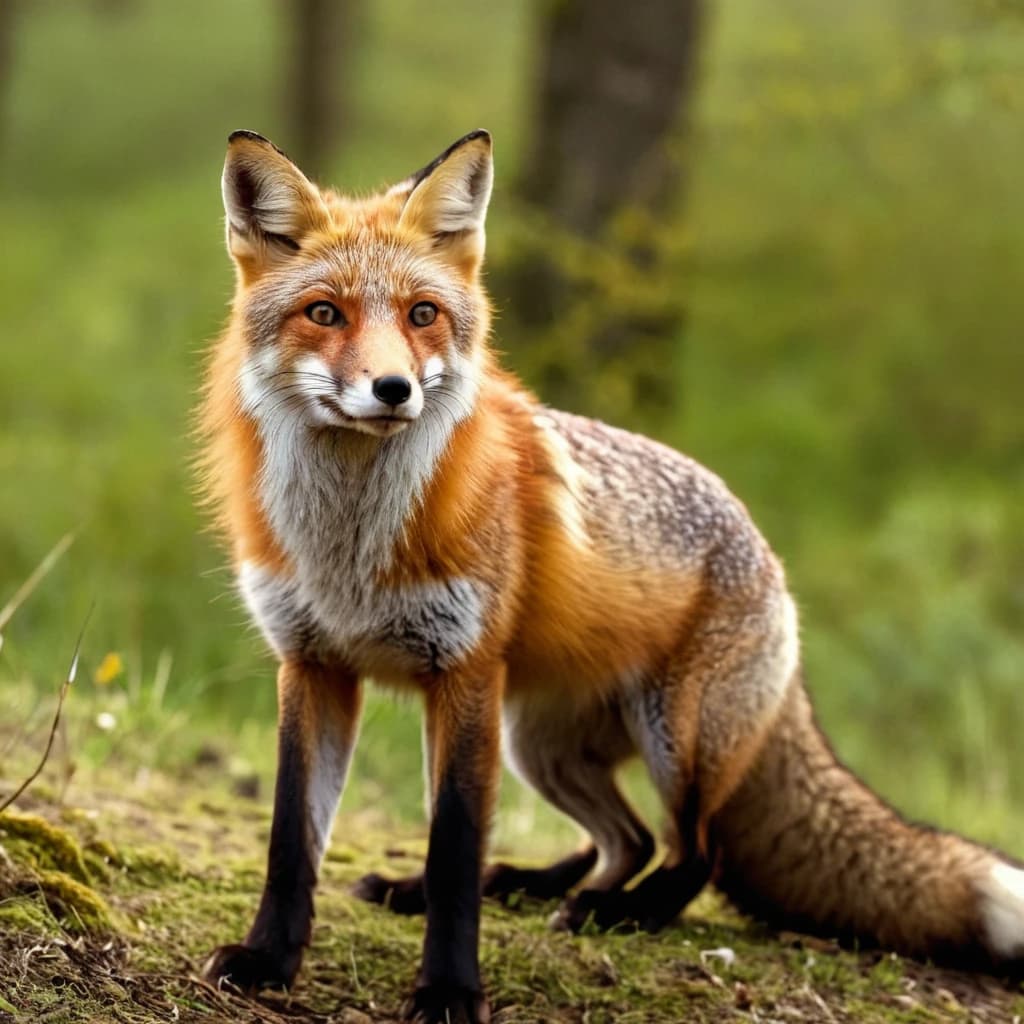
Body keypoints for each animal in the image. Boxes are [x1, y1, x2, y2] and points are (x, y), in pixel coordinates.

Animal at [197, 128, 1024, 1024]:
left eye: (422, 315)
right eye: (325, 313)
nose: (393, 389)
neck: (349, 549)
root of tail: (768, 555)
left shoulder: (465, 674)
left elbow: (454, 844)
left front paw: (449, 990)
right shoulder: (313, 665)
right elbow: (293, 839)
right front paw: (268, 959)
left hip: (676, 739)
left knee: (692, 854)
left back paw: (613, 914)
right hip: (541, 745)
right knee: (625, 839)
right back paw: (526, 886)